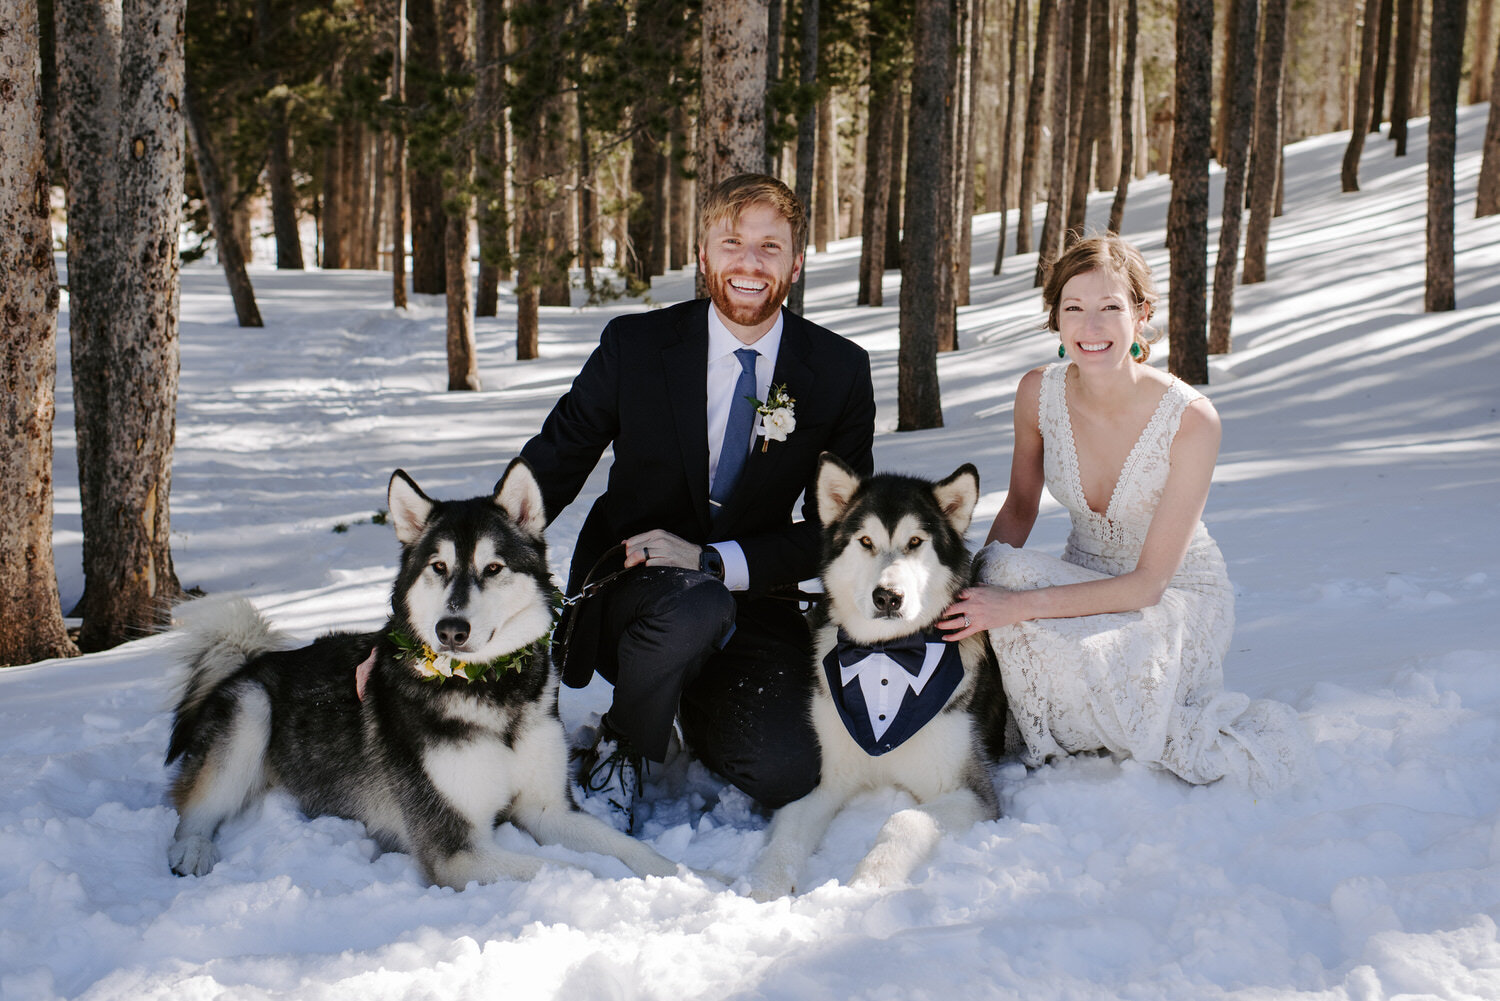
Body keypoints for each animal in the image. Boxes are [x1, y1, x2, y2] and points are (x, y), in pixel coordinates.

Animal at [167, 459, 678, 888]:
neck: (493, 689)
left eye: (493, 568)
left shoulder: (548, 809)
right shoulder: (456, 851)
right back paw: (192, 850)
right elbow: (578, 871)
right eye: (438, 566)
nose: (450, 629)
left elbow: (629, 850)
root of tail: (252, 660)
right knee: (192, 813)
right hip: (251, 711)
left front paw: (691, 876)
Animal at [747, 453, 1008, 900]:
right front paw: (765, 889)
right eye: (866, 542)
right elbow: (790, 829)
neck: (887, 654)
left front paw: (868, 882)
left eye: (916, 542)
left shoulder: (971, 792)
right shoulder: (829, 782)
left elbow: (902, 820)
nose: (888, 597)